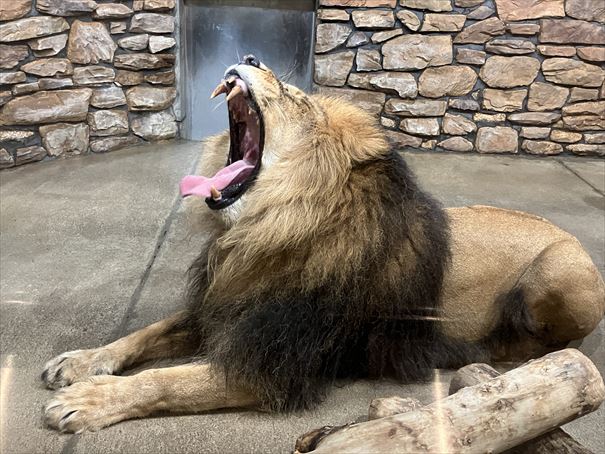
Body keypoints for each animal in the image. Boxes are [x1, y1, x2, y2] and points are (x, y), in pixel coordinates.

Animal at [40, 55, 600, 432]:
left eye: (295, 97)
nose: (249, 58)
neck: (266, 229)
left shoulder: (278, 363)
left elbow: (169, 381)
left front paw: (90, 400)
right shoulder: (226, 305)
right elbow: (146, 333)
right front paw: (81, 362)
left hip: (559, 272)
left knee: (553, 344)